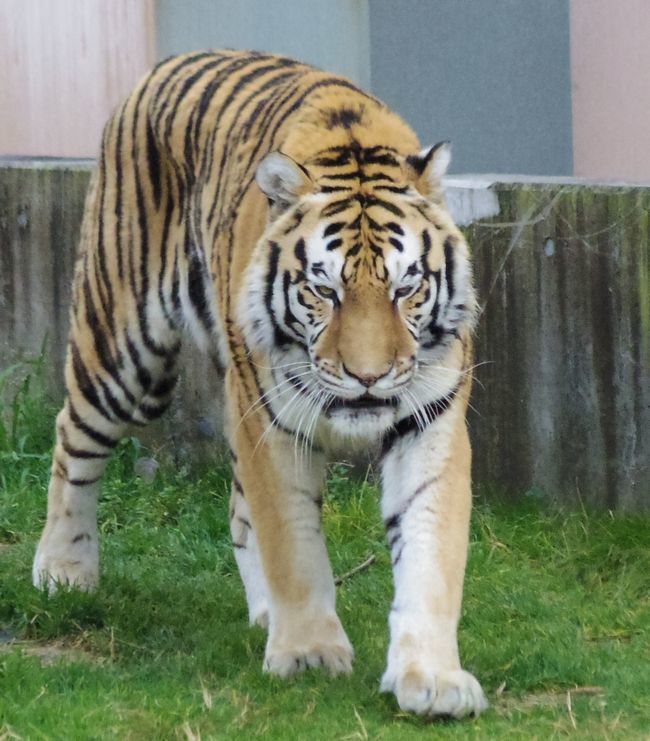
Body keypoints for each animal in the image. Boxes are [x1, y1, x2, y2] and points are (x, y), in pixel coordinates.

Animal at [31, 47, 486, 716]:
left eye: (407, 288)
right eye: (325, 290)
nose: (369, 377)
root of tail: (162, 65)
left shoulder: (429, 422)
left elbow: (429, 551)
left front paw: (432, 678)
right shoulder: (272, 422)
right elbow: (293, 543)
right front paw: (309, 654)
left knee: (238, 508)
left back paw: (266, 612)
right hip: (123, 349)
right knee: (72, 439)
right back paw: (64, 569)